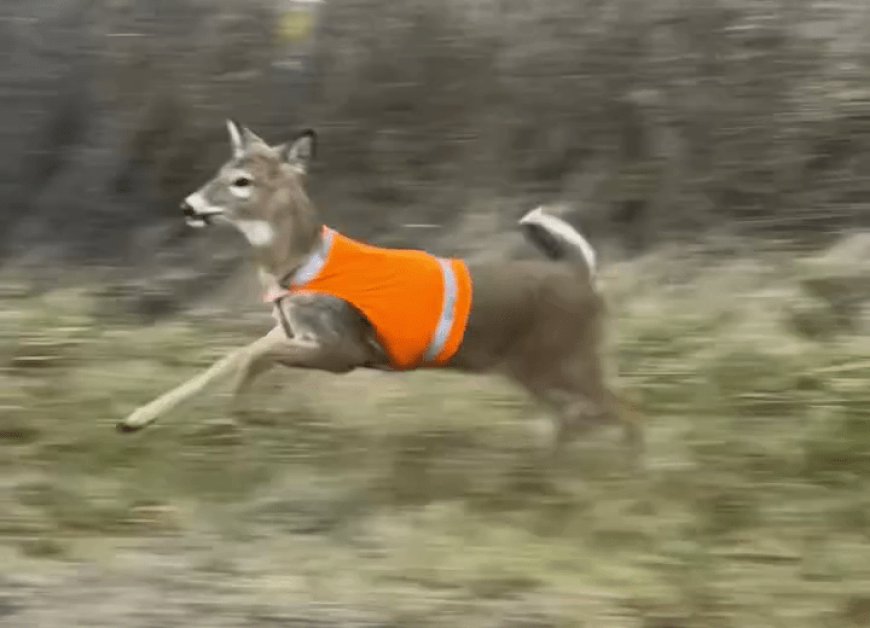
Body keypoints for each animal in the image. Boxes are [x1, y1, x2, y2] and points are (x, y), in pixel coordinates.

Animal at [117, 120, 640, 458]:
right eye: (219, 171)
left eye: (242, 180)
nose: (187, 206)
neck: (298, 266)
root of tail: (579, 274)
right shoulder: (291, 331)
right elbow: (228, 359)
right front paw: (136, 419)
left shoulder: (345, 347)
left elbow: (251, 358)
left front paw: (234, 417)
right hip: (533, 370)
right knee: (577, 416)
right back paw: (552, 469)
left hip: (568, 361)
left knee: (624, 412)